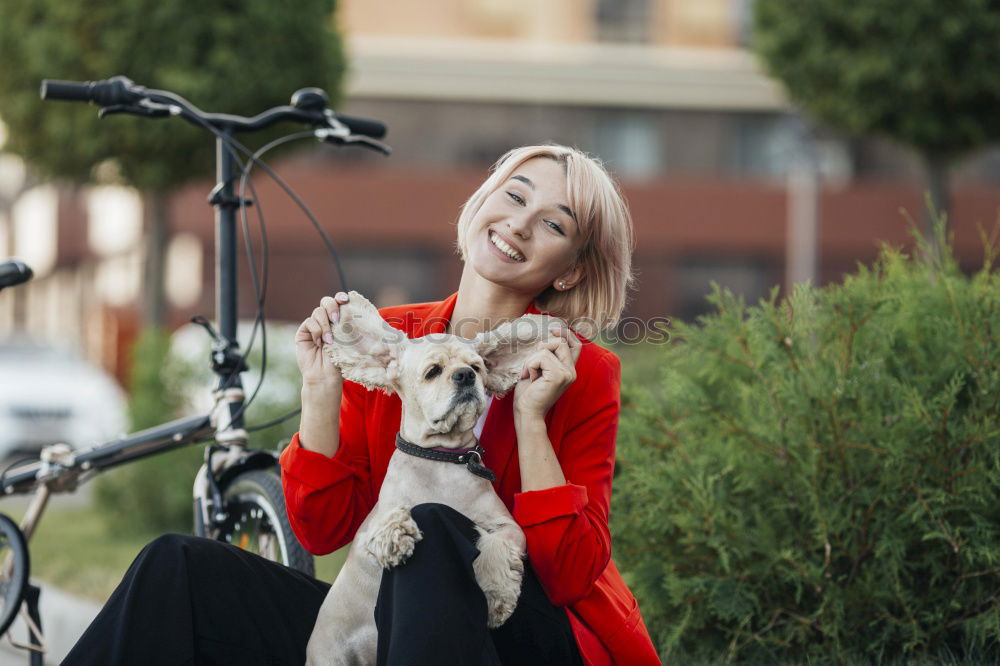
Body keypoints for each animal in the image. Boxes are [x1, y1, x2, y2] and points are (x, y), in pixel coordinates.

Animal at [304, 290, 564, 664]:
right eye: (433, 372)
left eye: (477, 367)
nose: (465, 376)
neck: (442, 458)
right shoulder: (372, 525)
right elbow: (390, 518)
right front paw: (396, 535)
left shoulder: (508, 526)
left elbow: (500, 544)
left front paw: (497, 596)